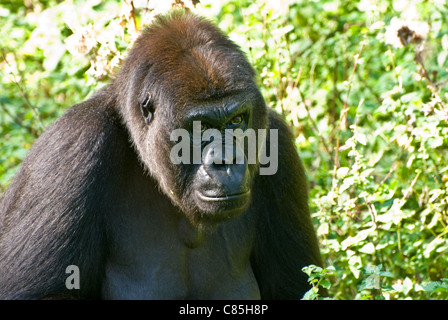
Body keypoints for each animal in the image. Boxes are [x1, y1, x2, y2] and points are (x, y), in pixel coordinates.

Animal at [0, 10, 322, 300]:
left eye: (236, 121)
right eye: (201, 126)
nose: (226, 163)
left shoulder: (278, 144)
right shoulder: (73, 145)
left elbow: (298, 287)